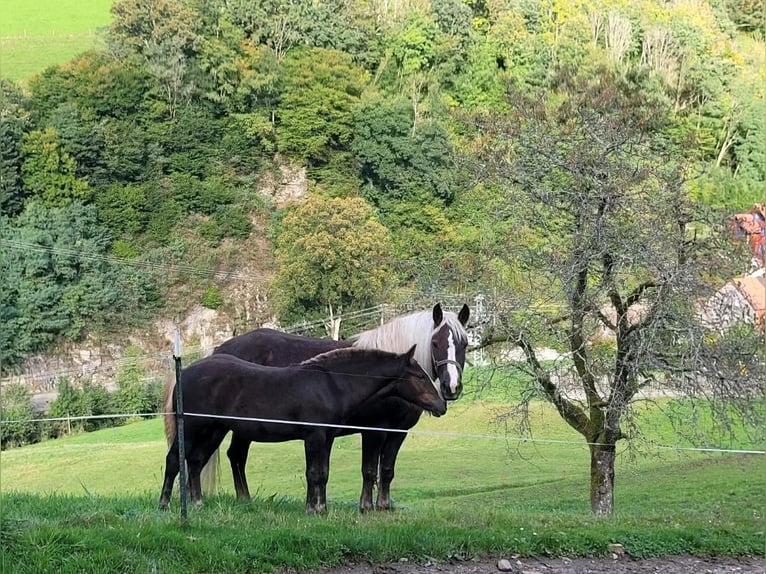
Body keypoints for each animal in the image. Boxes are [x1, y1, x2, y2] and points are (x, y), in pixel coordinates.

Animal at [158, 346, 446, 513]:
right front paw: (314, 510)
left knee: (195, 461)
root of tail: (184, 373)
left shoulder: (326, 437)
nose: (441, 405)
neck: (330, 384)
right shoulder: (314, 435)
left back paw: (197, 503)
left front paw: (320, 507)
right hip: (194, 427)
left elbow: (323, 473)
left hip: (214, 429)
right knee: (174, 460)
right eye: (420, 376)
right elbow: (314, 473)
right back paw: (164, 504)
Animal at [208, 302, 470, 511]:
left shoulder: (398, 432)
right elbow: (369, 470)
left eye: (464, 343)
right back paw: (245, 500)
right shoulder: (374, 430)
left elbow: (386, 469)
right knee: (237, 456)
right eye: (434, 342)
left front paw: (384, 506)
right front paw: (366, 507)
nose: (452, 387)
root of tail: (220, 351)